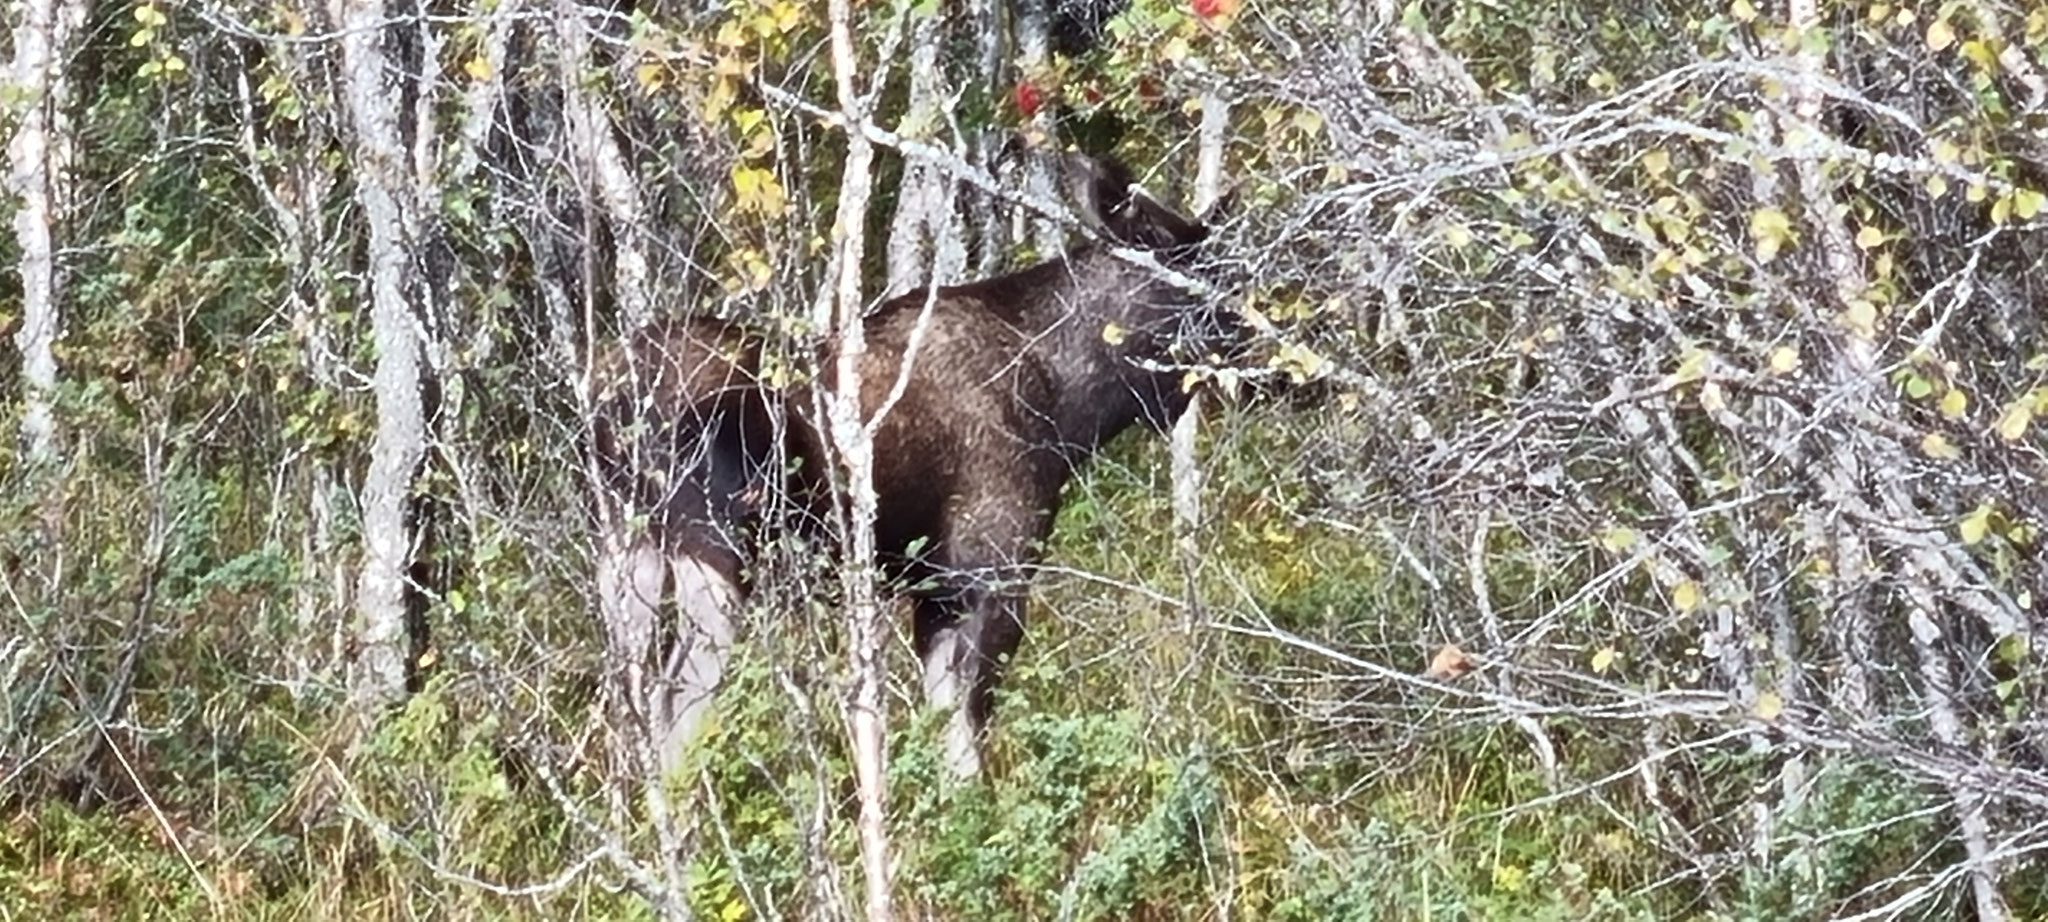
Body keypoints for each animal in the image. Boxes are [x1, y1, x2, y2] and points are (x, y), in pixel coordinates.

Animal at [585, 151, 1236, 778]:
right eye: (1210, 276)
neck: (1072, 406)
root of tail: (604, 398)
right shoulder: (989, 569)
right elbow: (969, 739)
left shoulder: (936, 593)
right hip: (715, 549)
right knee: (674, 708)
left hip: (626, 546)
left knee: (625, 701)